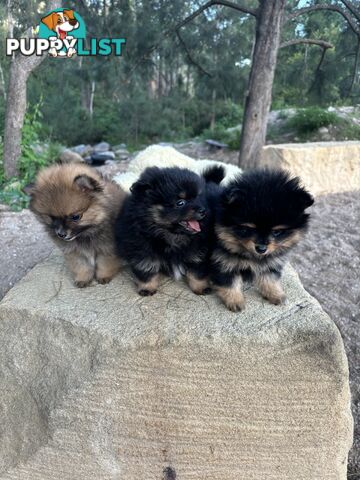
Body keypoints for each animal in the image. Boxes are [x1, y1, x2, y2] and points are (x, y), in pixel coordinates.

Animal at [115, 165, 224, 296]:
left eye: (198, 198)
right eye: (180, 203)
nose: (203, 210)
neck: (170, 234)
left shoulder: (197, 250)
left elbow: (196, 271)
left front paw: (200, 287)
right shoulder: (142, 248)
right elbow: (147, 267)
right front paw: (147, 288)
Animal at [210, 169, 314, 312]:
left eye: (277, 232)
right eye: (247, 229)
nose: (261, 249)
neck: (252, 256)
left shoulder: (271, 262)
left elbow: (269, 278)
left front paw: (276, 294)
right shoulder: (223, 262)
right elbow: (230, 283)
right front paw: (235, 301)